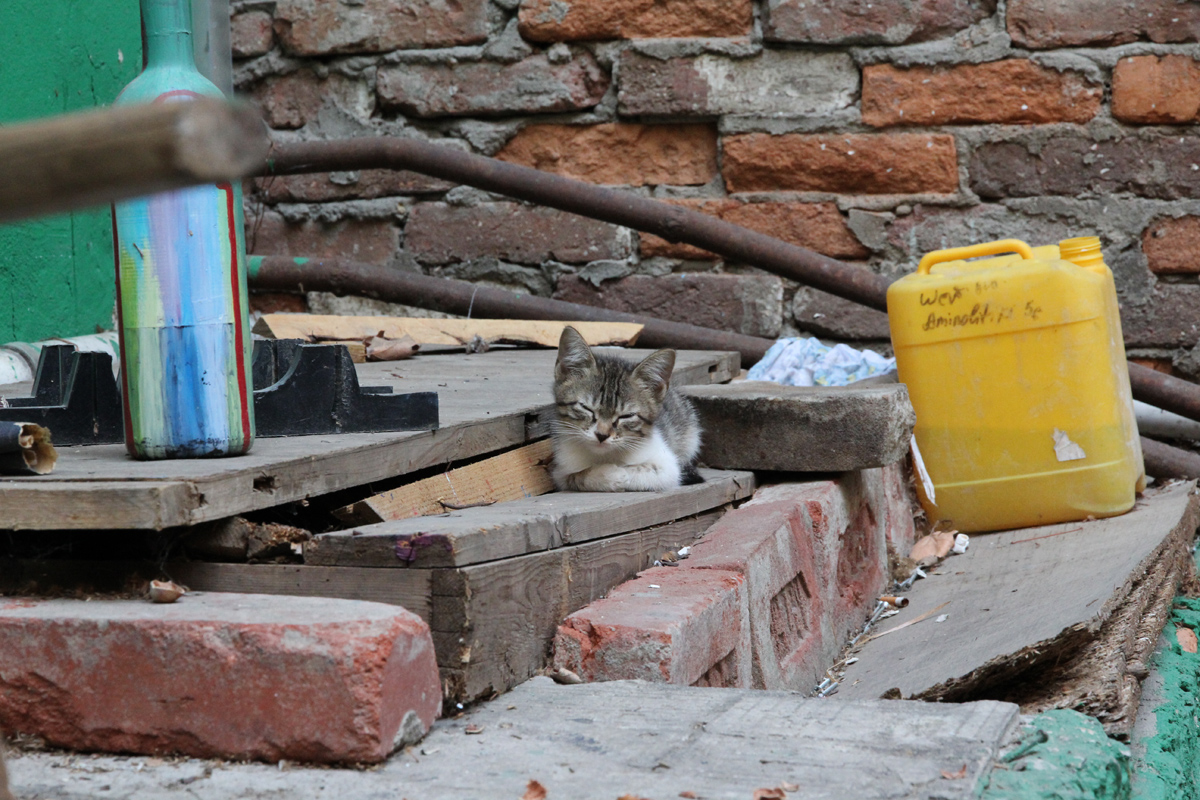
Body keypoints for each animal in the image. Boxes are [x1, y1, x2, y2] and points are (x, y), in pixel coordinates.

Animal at [551, 326, 703, 492]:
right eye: (586, 407)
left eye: (626, 416)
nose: (601, 435)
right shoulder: (560, 471)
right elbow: (575, 477)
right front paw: (607, 474)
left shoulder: (668, 466)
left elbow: (645, 471)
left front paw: (618, 473)